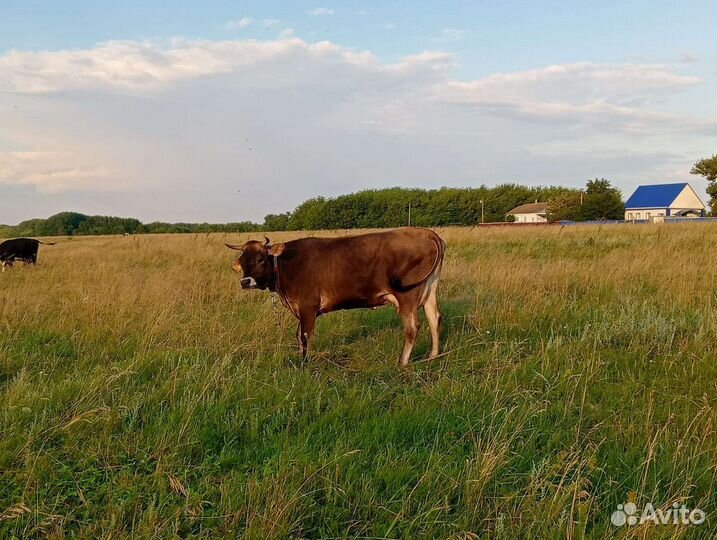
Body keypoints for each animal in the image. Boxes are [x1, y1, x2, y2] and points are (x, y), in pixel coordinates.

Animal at [226, 227, 446, 366]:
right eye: (242, 260)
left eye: (261, 258)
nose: (245, 282)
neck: (286, 266)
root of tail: (426, 233)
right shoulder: (301, 309)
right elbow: (298, 335)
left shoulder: (308, 306)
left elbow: (305, 336)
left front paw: (304, 363)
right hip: (429, 289)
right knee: (434, 318)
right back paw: (433, 356)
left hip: (407, 295)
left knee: (412, 327)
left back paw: (402, 362)